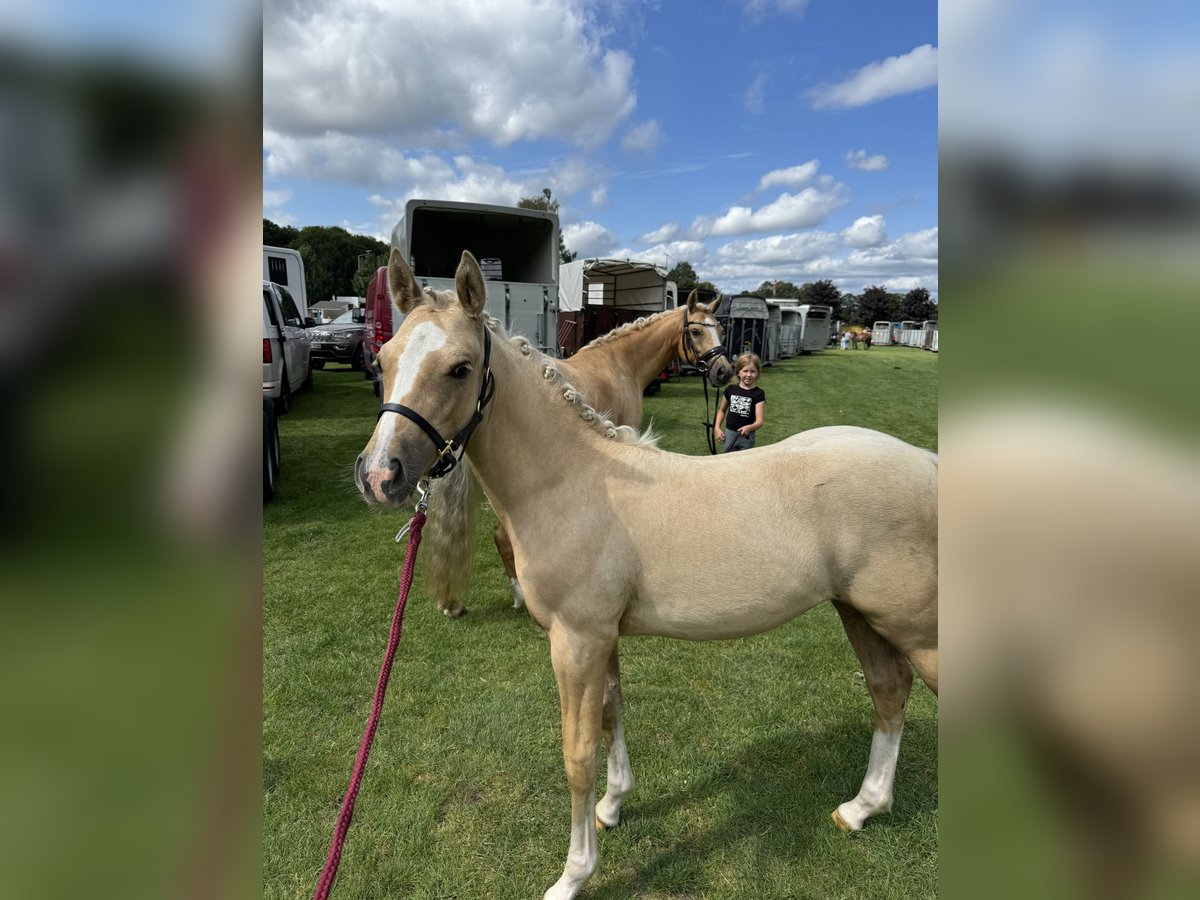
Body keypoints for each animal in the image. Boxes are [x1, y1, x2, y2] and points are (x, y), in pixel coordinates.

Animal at [417, 289, 729, 619]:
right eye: (696, 331)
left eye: (721, 330)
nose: (724, 371)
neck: (619, 363)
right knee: (502, 536)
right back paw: (519, 596)